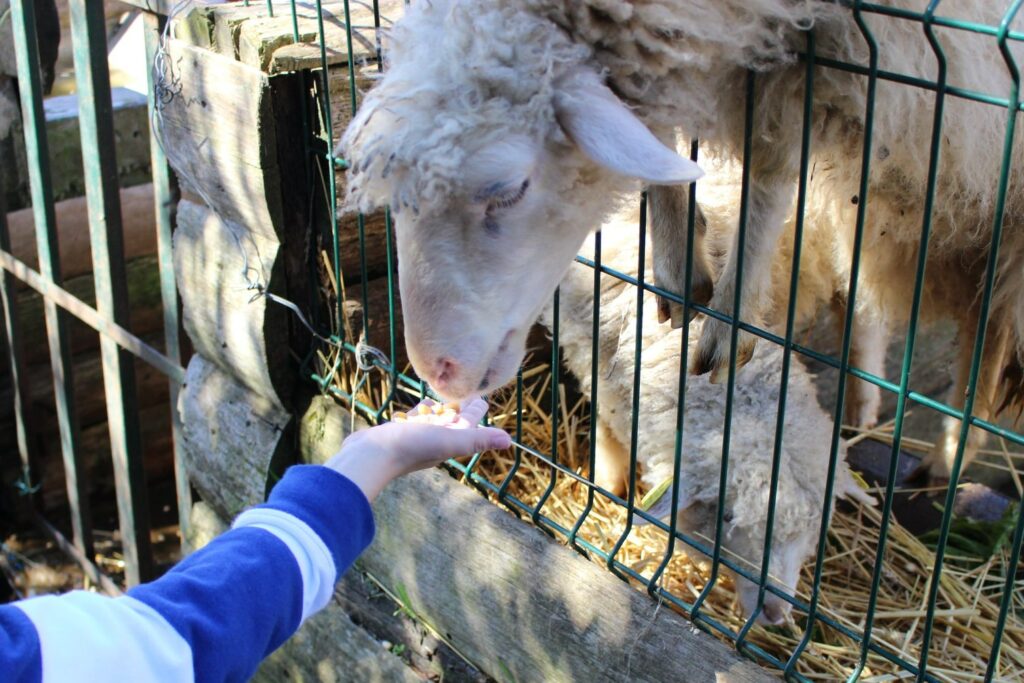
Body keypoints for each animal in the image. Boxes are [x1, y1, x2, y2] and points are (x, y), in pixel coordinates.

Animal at [339, 0, 1024, 483]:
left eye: (508, 189)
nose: (437, 370)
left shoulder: (824, 48)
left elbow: (772, 163)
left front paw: (730, 316)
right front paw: (678, 264)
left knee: (987, 325)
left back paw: (950, 454)